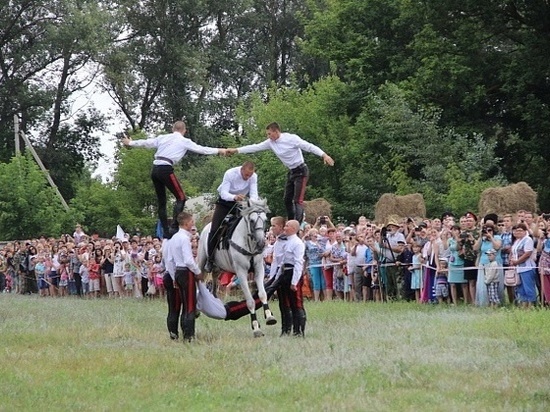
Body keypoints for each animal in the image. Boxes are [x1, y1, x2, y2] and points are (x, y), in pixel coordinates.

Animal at [197, 198, 276, 336]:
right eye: (252, 220)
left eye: (265, 219)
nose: (262, 243)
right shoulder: (241, 273)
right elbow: (250, 301)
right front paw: (256, 327)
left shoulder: (259, 270)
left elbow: (262, 294)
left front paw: (269, 316)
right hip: (202, 261)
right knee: (200, 278)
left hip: (219, 267)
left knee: (214, 282)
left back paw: (214, 299)